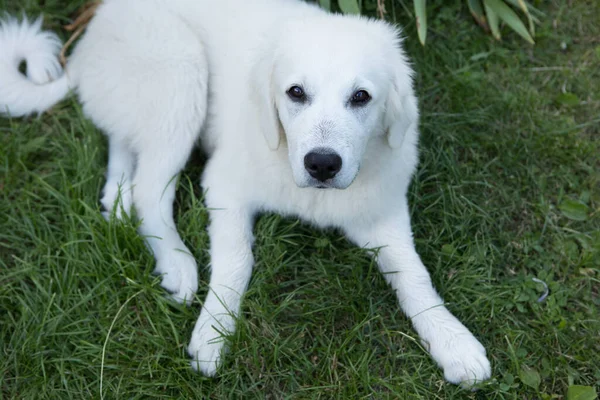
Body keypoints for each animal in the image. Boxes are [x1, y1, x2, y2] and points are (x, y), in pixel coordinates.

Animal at [0, 0, 492, 386]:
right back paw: (176, 263)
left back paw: (115, 196)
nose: (322, 164)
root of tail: (91, 32)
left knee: (125, 144)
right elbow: (237, 262)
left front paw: (454, 341)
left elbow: (415, 276)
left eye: (361, 97)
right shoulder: (225, 186)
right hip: (181, 71)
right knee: (150, 192)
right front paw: (213, 334)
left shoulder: (383, 212)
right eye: (296, 92)